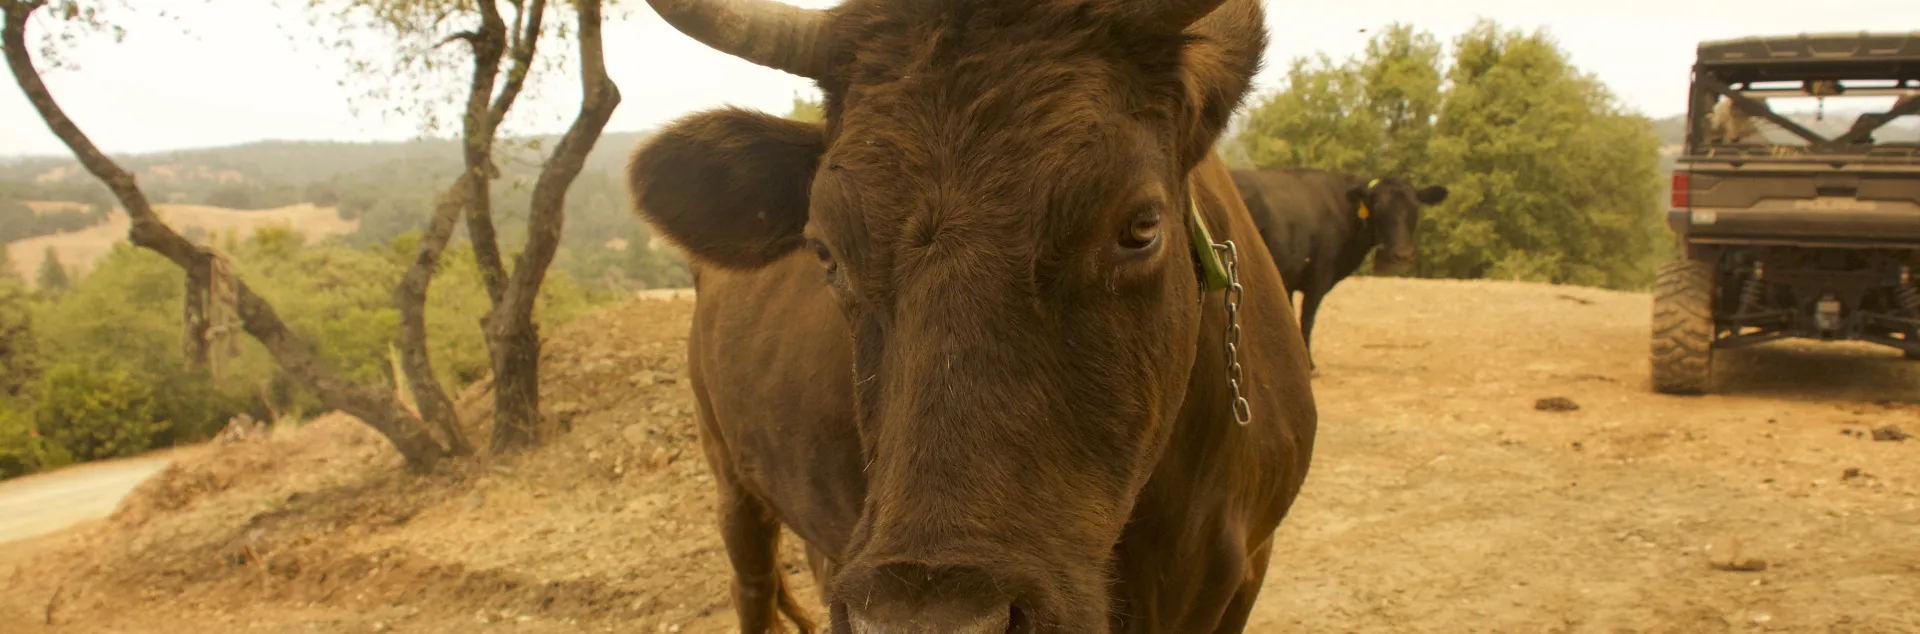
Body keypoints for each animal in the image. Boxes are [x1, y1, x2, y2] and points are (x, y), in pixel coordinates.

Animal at [1229, 168, 1447, 371]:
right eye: (1378, 207)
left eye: (1415, 207)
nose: (1402, 254)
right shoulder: (1319, 276)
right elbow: (1306, 319)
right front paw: (1309, 365)